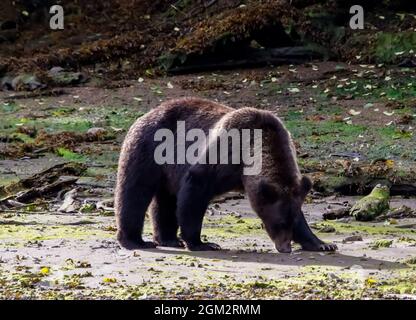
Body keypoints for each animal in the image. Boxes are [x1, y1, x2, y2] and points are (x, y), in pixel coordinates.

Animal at [114, 97, 338, 252]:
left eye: (290, 223)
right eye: (279, 223)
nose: (285, 247)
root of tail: (146, 114)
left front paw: (322, 243)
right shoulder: (223, 153)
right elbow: (194, 193)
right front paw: (202, 243)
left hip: (166, 170)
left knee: (165, 200)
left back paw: (168, 239)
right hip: (148, 149)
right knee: (135, 192)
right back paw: (135, 241)